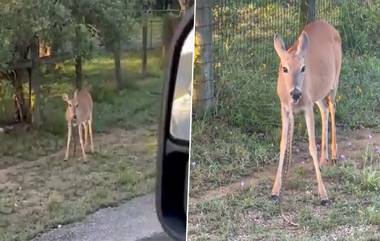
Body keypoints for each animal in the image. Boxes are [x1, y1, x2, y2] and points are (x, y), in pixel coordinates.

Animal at [272, 20, 342, 205]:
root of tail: (329, 25)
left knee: (332, 108)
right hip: (318, 93)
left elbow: (311, 146)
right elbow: (283, 144)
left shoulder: (307, 106)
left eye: (303, 68)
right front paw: (275, 190)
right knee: (324, 110)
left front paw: (323, 195)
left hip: (334, 80)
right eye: (284, 68)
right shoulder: (285, 108)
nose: (296, 93)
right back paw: (323, 160)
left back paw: (333, 156)